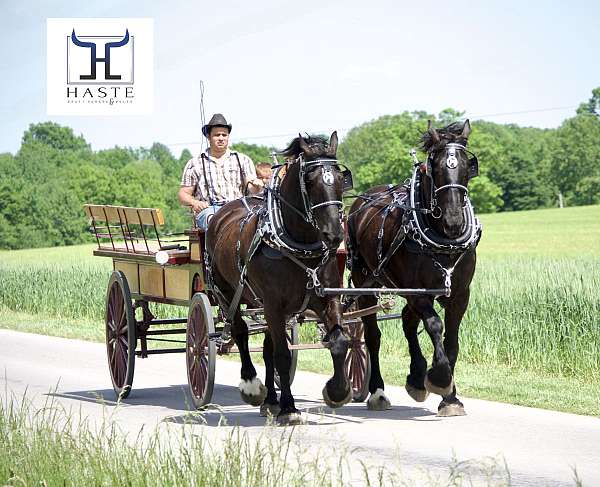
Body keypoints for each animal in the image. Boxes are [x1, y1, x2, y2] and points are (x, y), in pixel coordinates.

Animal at [206, 132, 352, 426]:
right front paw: (289, 408)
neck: (300, 244)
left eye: (340, 178)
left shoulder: (326, 298)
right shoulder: (273, 303)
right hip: (227, 293)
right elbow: (283, 354)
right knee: (240, 332)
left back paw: (270, 402)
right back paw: (253, 387)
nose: (333, 234)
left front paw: (337, 391)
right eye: (310, 181)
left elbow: (339, 341)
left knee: (267, 345)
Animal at [344, 120, 480, 418]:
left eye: (468, 165)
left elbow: (452, 340)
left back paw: (416, 378)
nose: (454, 219)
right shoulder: (419, 291)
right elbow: (435, 325)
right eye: (435, 167)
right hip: (366, 281)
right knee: (372, 335)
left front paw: (450, 397)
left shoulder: (460, 294)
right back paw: (378, 392)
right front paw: (439, 378)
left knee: (407, 320)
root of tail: (362, 200)